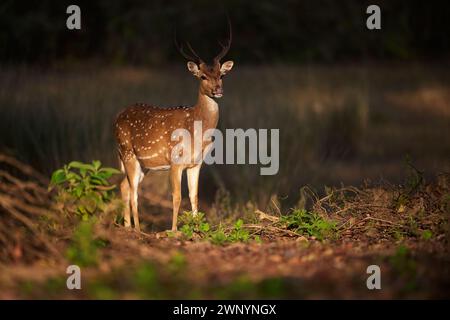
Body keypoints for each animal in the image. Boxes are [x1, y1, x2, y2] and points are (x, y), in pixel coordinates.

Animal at [114, 23, 234, 231]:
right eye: (203, 76)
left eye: (221, 75)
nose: (218, 90)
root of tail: (117, 118)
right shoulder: (175, 161)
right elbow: (177, 197)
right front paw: (174, 230)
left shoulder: (196, 163)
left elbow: (194, 197)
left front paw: (196, 229)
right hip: (127, 152)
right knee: (134, 192)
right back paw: (137, 229)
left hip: (144, 164)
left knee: (124, 186)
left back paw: (128, 227)